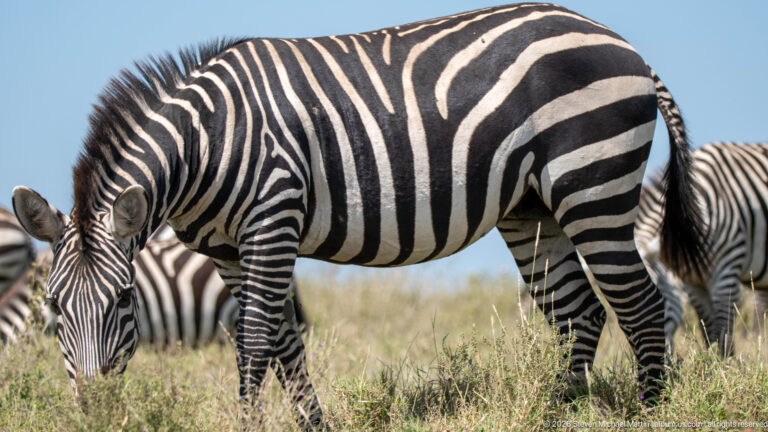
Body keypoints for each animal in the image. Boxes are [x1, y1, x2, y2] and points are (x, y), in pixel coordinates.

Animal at [10, 4, 707, 427]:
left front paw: (248, 424)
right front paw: (313, 424)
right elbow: (286, 345)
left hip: (593, 185)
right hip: (532, 210)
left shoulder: (272, 219)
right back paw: (559, 412)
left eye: (125, 301)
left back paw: (648, 412)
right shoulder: (232, 251)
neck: (207, 143)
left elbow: (254, 340)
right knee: (578, 312)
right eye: (54, 309)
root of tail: (625, 47)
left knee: (640, 306)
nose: (95, 412)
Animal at [636, 141, 768, 356]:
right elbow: (707, 329)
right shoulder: (692, 282)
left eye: (656, 301)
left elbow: (722, 334)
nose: (665, 362)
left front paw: (724, 364)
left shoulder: (726, 272)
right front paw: (712, 361)